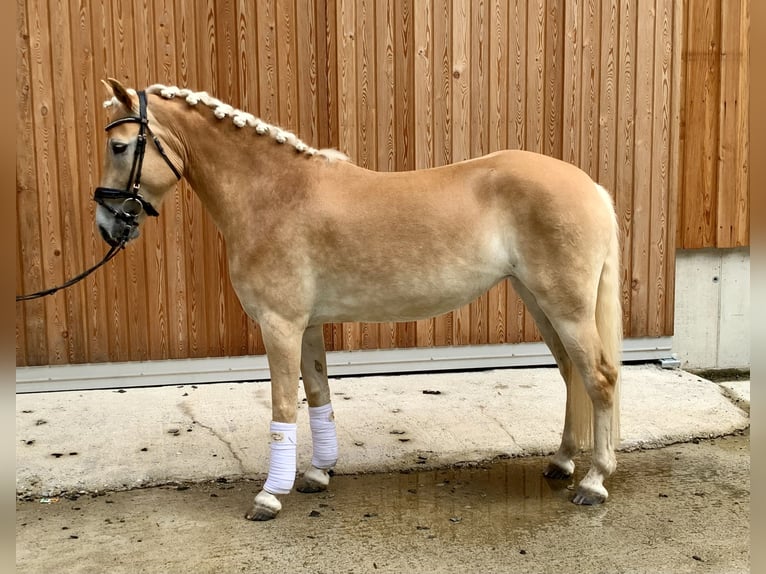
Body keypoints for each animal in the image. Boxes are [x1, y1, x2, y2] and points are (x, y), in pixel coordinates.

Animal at [96, 79, 624, 524]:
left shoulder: (280, 325)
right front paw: (316, 473)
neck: (274, 195)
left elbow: (284, 405)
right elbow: (318, 395)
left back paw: (593, 482)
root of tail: (591, 186)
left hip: (567, 308)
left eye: (119, 146)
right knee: (571, 374)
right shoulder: (307, 326)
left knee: (599, 379)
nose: (107, 226)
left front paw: (269, 496)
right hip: (539, 302)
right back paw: (561, 462)